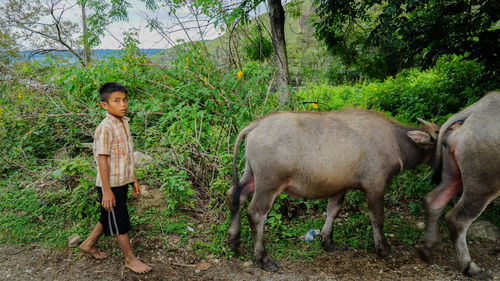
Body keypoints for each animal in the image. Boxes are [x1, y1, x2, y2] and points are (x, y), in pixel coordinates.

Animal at [229, 107, 440, 270]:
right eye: (441, 143)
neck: (396, 140)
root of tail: (256, 125)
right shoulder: (375, 186)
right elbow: (377, 218)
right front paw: (384, 249)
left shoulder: (340, 187)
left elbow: (333, 210)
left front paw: (327, 241)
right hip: (269, 183)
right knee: (256, 213)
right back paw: (264, 259)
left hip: (251, 175)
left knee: (236, 194)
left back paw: (233, 240)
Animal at [418, 91, 500, 278]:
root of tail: (471, 113)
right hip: (483, 184)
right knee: (457, 219)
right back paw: (469, 266)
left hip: (454, 175)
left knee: (434, 200)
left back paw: (426, 248)